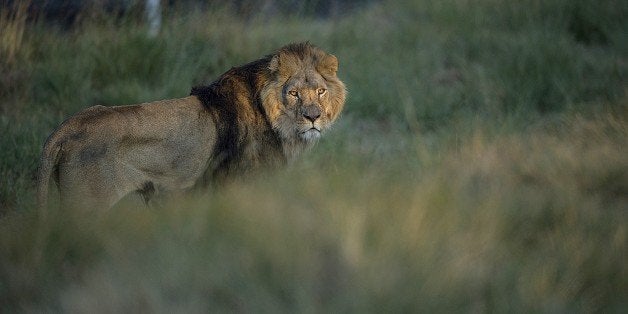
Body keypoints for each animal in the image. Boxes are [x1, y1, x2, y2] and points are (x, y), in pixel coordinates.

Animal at [36, 41, 346, 209]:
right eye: (293, 93)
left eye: (320, 91)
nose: (313, 117)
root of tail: (69, 125)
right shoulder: (242, 184)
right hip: (86, 206)